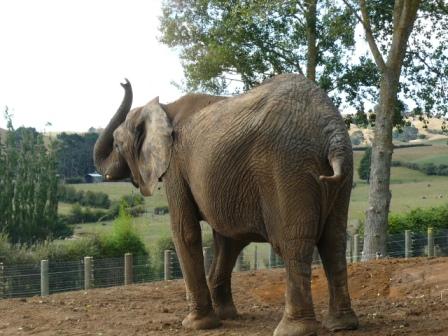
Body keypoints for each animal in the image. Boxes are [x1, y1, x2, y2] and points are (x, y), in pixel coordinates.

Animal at [93, 74, 356, 336]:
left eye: (116, 145)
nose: (123, 81)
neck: (163, 107)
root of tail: (332, 132)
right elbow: (228, 240)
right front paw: (225, 316)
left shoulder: (175, 165)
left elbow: (185, 232)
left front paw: (196, 324)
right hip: (340, 171)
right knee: (334, 241)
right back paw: (341, 324)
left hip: (287, 164)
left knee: (293, 243)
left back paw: (294, 330)